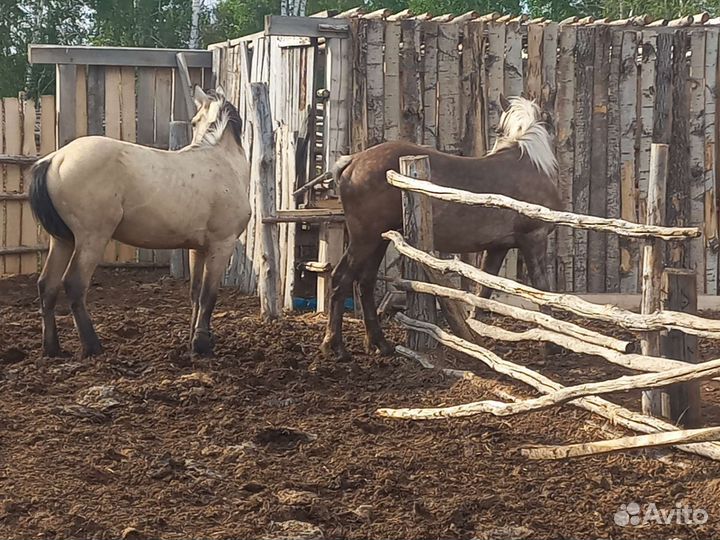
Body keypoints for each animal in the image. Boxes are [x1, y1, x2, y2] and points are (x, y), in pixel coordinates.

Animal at [29, 85, 251, 358]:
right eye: (194, 122)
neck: (222, 162)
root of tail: (55, 159)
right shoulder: (221, 245)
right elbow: (208, 297)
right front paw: (202, 345)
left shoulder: (198, 249)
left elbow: (196, 294)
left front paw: (194, 341)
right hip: (91, 238)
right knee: (73, 284)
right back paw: (92, 346)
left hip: (63, 240)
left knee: (47, 286)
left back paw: (52, 348)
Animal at [320, 95, 563, 360]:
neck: (532, 165)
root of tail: (352, 161)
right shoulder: (534, 238)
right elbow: (542, 289)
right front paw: (551, 345)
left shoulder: (498, 248)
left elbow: (483, 292)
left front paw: (475, 336)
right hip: (363, 239)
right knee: (341, 279)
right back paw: (335, 346)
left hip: (378, 240)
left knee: (365, 282)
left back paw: (379, 343)